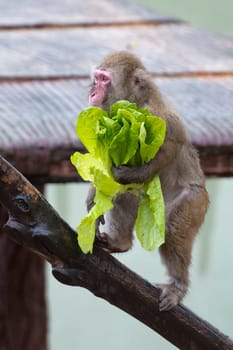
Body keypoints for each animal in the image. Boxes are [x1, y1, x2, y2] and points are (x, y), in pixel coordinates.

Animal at [86, 50, 209, 310]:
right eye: (97, 78)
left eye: (104, 80)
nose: (93, 92)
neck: (136, 100)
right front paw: (93, 195)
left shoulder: (157, 115)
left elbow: (171, 145)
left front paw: (131, 174)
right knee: (125, 196)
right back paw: (120, 243)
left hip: (194, 204)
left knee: (172, 231)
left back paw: (178, 286)